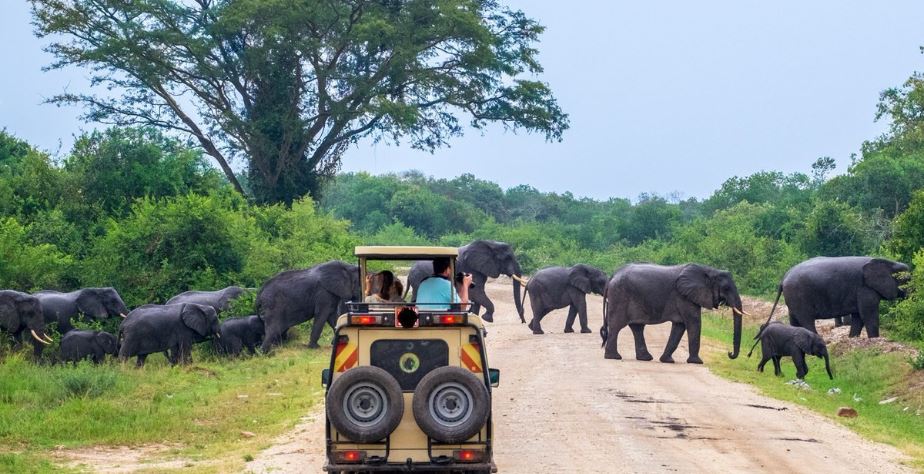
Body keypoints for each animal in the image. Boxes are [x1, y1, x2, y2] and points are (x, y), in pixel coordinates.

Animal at [600, 262, 744, 364]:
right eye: (726, 288)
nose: (729, 353)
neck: (709, 270)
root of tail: (612, 276)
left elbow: (679, 326)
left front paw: (667, 360)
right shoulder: (684, 296)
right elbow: (694, 323)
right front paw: (697, 362)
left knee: (637, 327)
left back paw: (645, 358)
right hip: (620, 296)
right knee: (617, 326)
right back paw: (614, 357)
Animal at [768, 258, 912, 338]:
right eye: (906, 280)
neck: (888, 262)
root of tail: (784, 278)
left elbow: (858, 317)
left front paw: (853, 338)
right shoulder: (864, 288)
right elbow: (868, 315)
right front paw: (874, 340)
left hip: (793, 297)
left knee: (794, 320)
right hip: (799, 296)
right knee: (806, 320)